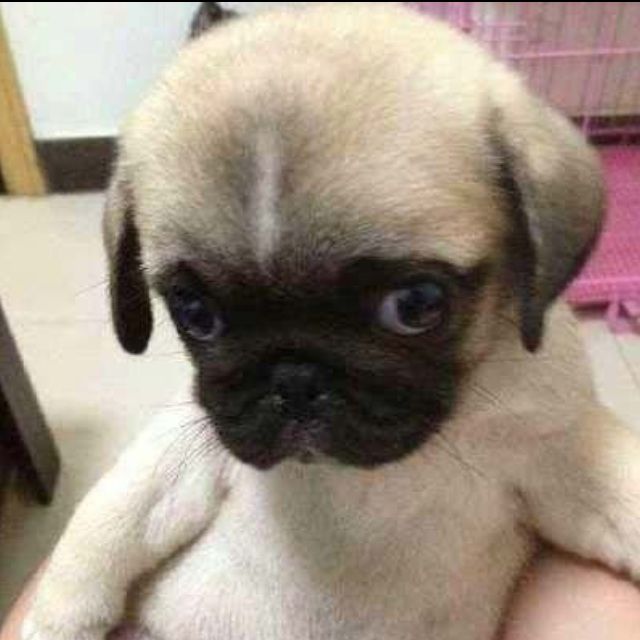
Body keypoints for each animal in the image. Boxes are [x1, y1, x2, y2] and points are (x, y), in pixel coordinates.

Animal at [23, 4, 640, 640]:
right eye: (196, 314)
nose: (295, 376)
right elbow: (103, 534)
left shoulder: (555, 450)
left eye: (416, 305)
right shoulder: (179, 455)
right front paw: (54, 623)